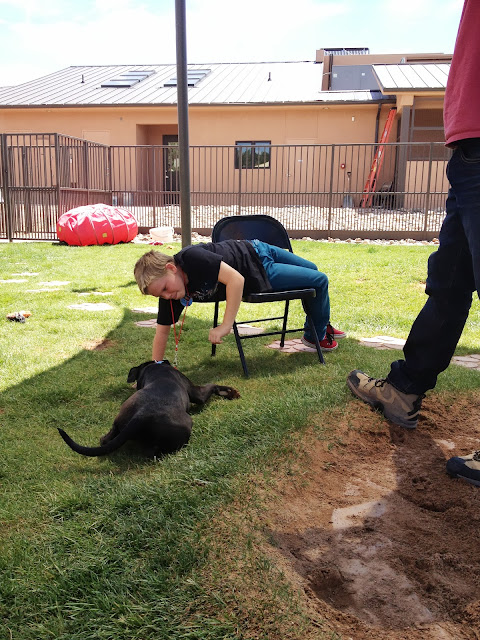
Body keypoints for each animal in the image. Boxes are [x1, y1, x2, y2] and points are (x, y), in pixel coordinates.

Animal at [58, 362, 240, 458]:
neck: (156, 368)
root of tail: (140, 417)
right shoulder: (197, 393)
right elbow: (212, 386)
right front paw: (230, 392)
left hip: (120, 418)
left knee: (106, 439)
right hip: (186, 427)